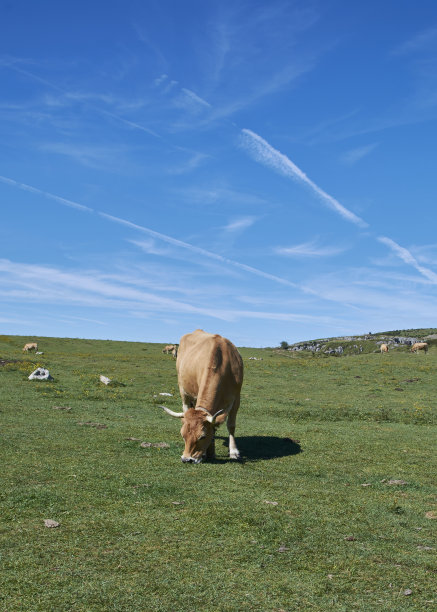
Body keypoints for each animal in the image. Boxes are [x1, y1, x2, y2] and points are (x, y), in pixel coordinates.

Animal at [162, 330, 244, 464]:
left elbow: (231, 425)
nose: (186, 459)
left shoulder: (237, 397)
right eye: (183, 436)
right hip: (183, 390)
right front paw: (207, 452)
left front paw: (234, 452)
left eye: (202, 436)